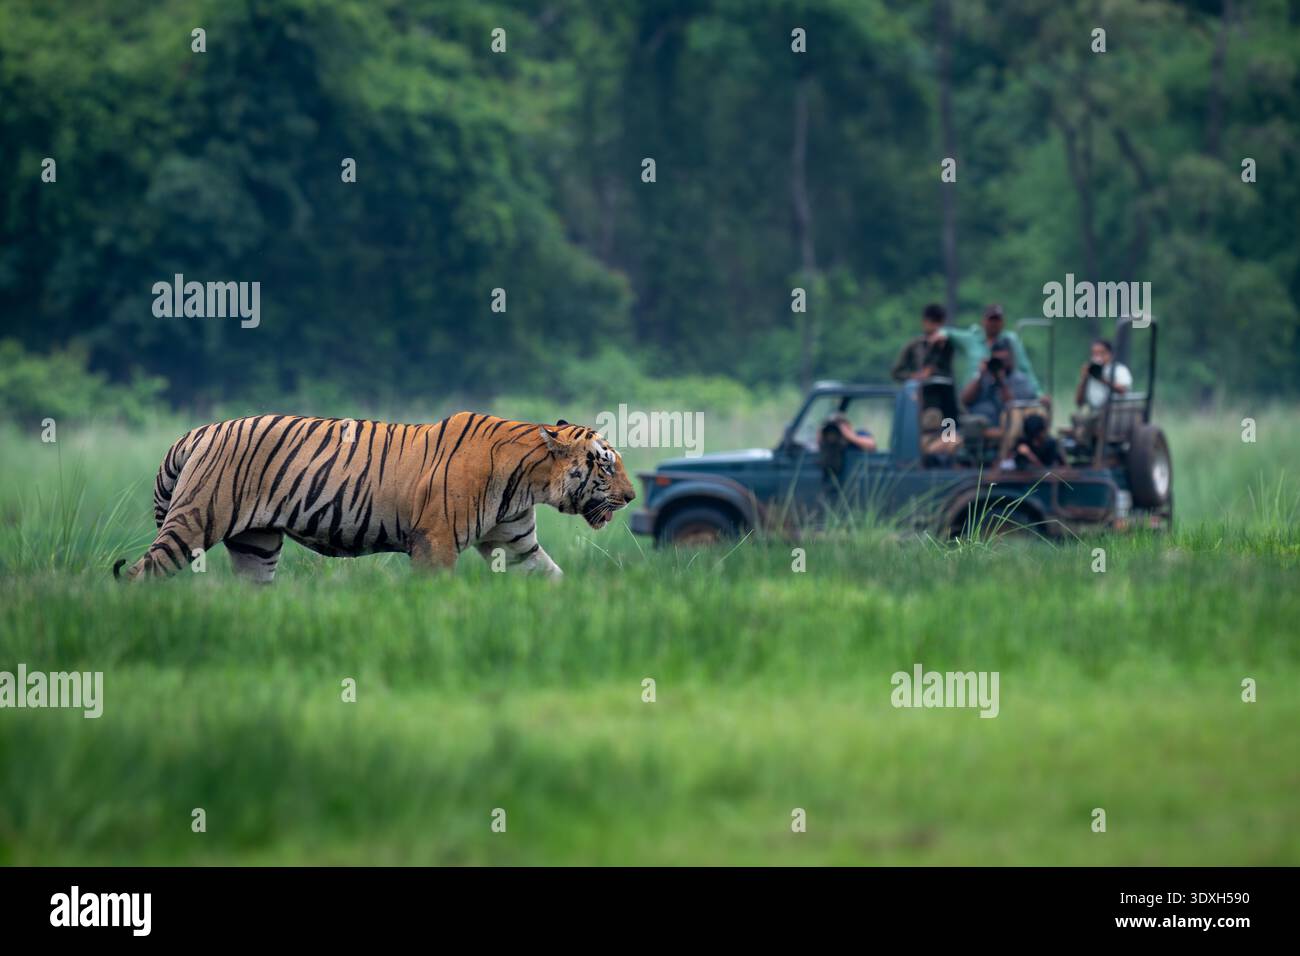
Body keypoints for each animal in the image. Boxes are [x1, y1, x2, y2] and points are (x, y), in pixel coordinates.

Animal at [112, 412, 635, 583]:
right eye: (605, 463)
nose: (632, 497)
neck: (529, 480)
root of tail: (198, 431)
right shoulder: (435, 541)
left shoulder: (518, 542)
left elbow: (550, 576)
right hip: (195, 520)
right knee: (142, 573)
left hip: (256, 544)